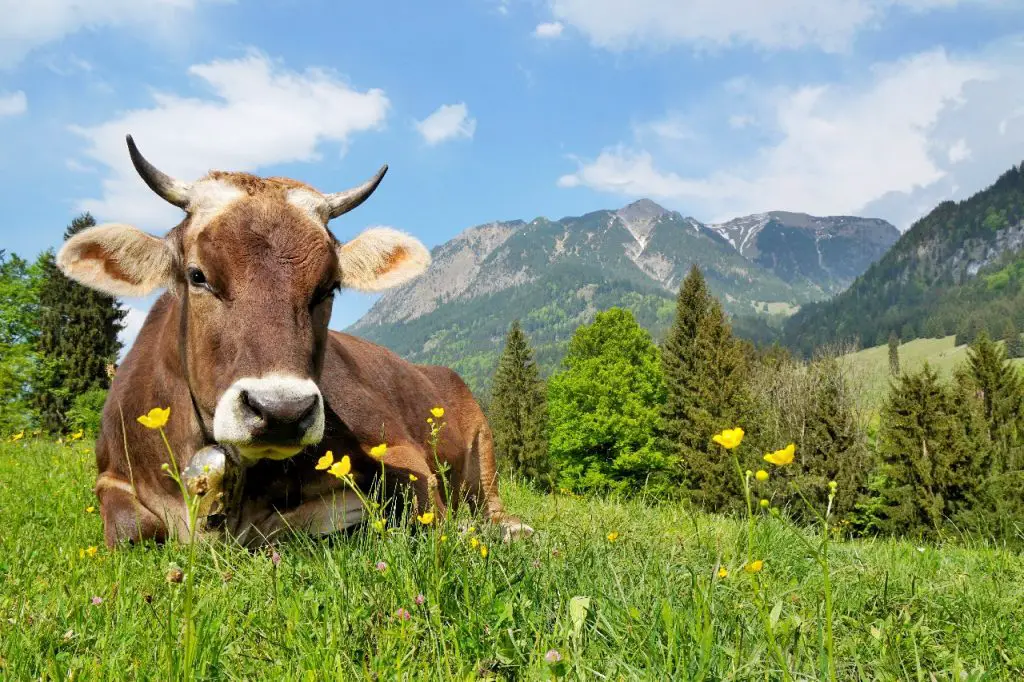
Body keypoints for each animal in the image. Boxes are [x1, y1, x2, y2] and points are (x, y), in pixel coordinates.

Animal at [58, 135, 536, 548]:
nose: (281, 411)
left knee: (489, 507)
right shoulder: (110, 474)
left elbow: (415, 511)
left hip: (485, 447)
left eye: (329, 287)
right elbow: (131, 526)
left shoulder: (402, 453)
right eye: (197, 275)